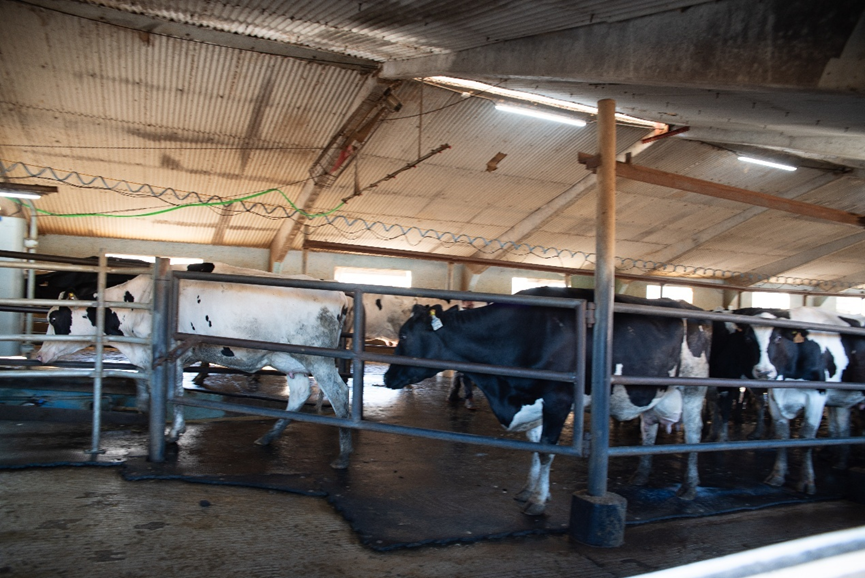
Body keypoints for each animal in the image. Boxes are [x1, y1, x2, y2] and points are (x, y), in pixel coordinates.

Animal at [35, 263, 354, 469]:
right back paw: (267, 438)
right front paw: (146, 408)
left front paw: (172, 432)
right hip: (287, 359)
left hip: (318, 358)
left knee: (339, 393)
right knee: (299, 394)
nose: (39, 355)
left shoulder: (172, 353)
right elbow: (149, 381)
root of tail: (338, 294)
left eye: (55, 319)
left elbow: (173, 392)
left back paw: (343, 454)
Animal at [383, 287, 711, 515]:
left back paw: (688, 487)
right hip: (655, 391)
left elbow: (546, 451)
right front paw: (528, 490)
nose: (387, 376)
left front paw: (538, 501)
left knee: (694, 435)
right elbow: (534, 446)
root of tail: (693, 308)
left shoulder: (557, 400)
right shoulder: (531, 401)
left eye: (405, 335)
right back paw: (641, 476)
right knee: (649, 428)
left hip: (694, 388)